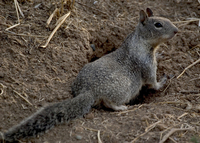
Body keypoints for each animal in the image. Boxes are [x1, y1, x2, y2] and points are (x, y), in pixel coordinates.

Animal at [0, 8, 178, 143]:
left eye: (166, 19)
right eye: (158, 24)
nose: (177, 30)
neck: (141, 41)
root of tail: (88, 91)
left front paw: (160, 55)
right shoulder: (146, 65)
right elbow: (152, 82)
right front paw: (162, 81)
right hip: (122, 89)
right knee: (109, 102)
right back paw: (121, 107)